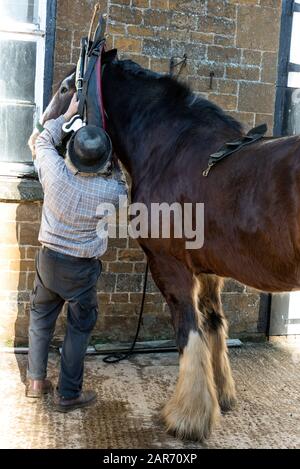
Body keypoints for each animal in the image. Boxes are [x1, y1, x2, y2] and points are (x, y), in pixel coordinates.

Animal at [28, 49, 300, 440]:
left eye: (66, 88)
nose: (37, 138)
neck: (173, 148)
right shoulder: (208, 271)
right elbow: (213, 323)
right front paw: (221, 396)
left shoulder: (169, 266)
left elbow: (189, 331)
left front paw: (188, 417)